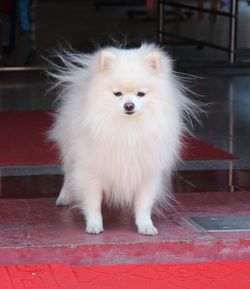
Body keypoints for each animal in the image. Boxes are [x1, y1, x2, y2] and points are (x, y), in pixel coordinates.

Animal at [49, 44, 195, 235]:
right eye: (117, 93)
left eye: (141, 94)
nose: (129, 105)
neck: (128, 128)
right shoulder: (91, 170)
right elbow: (93, 201)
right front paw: (94, 225)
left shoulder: (147, 172)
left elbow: (144, 204)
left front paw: (146, 225)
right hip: (70, 153)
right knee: (68, 174)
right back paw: (64, 197)